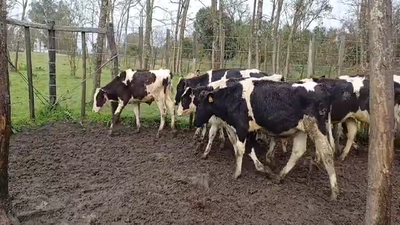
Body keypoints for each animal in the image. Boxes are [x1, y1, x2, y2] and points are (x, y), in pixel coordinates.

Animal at [195, 78, 340, 200]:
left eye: (200, 104)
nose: (196, 122)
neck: (233, 98)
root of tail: (321, 87)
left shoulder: (241, 128)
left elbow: (240, 150)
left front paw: (237, 173)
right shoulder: (247, 130)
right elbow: (247, 149)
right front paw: (264, 169)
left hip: (315, 127)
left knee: (327, 152)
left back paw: (334, 191)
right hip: (302, 129)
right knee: (298, 151)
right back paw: (280, 176)